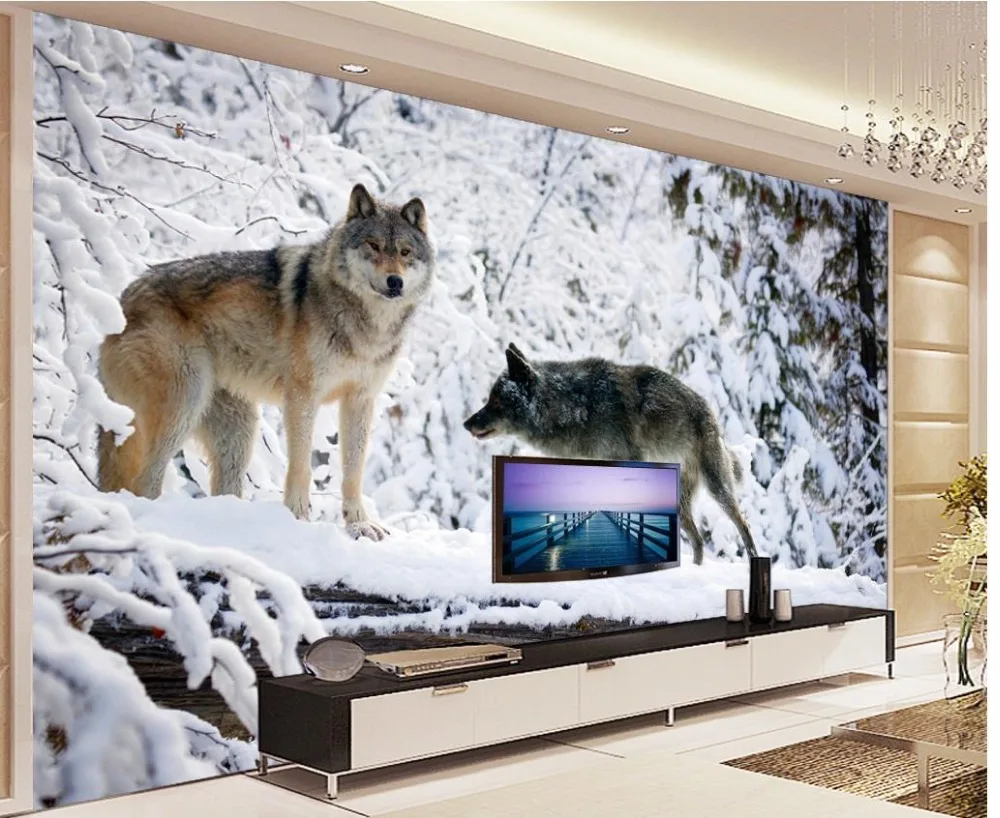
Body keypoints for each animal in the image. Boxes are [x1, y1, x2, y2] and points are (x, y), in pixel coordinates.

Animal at [97, 183, 434, 540]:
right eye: (373, 245)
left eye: (405, 252)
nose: (395, 282)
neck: (366, 325)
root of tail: (121, 299)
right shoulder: (302, 396)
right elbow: (301, 466)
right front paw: (298, 519)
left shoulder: (361, 399)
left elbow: (353, 470)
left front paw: (359, 524)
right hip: (185, 403)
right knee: (144, 479)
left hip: (238, 430)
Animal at [464, 343, 759, 565]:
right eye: (489, 398)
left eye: (496, 400)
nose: (467, 423)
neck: (577, 406)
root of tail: (710, 413)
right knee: (698, 541)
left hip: (718, 488)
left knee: (743, 524)